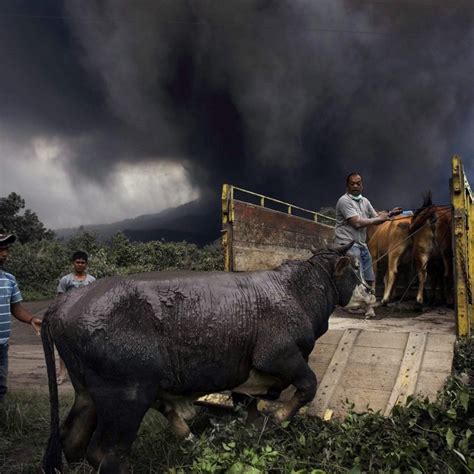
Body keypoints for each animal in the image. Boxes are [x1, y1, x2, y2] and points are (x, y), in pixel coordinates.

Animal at [41, 244, 374, 474]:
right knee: (106, 453)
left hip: (88, 393)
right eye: (355, 266)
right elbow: (308, 385)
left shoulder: (247, 375)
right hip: (127, 396)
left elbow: (248, 407)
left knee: (72, 439)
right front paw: (279, 418)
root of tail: (66, 302)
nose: (371, 290)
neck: (297, 291)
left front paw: (253, 432)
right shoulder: (279, 356)